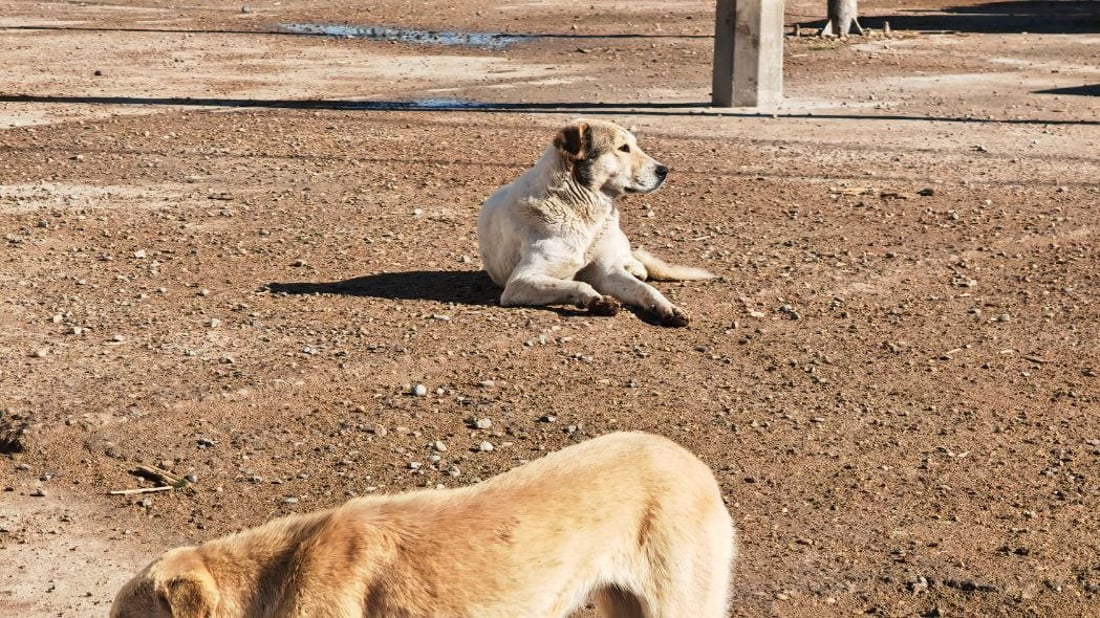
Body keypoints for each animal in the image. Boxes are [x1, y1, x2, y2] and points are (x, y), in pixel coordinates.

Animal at [477, 117, 708, 325]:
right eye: (623, 148)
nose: (664, 171)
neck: (582, 211)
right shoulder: (519, 282)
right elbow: (577, 285)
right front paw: (597, 300)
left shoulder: (607, 273)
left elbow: (645, 288)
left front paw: (668, 307)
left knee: (635, 262)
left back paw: (634, 267)